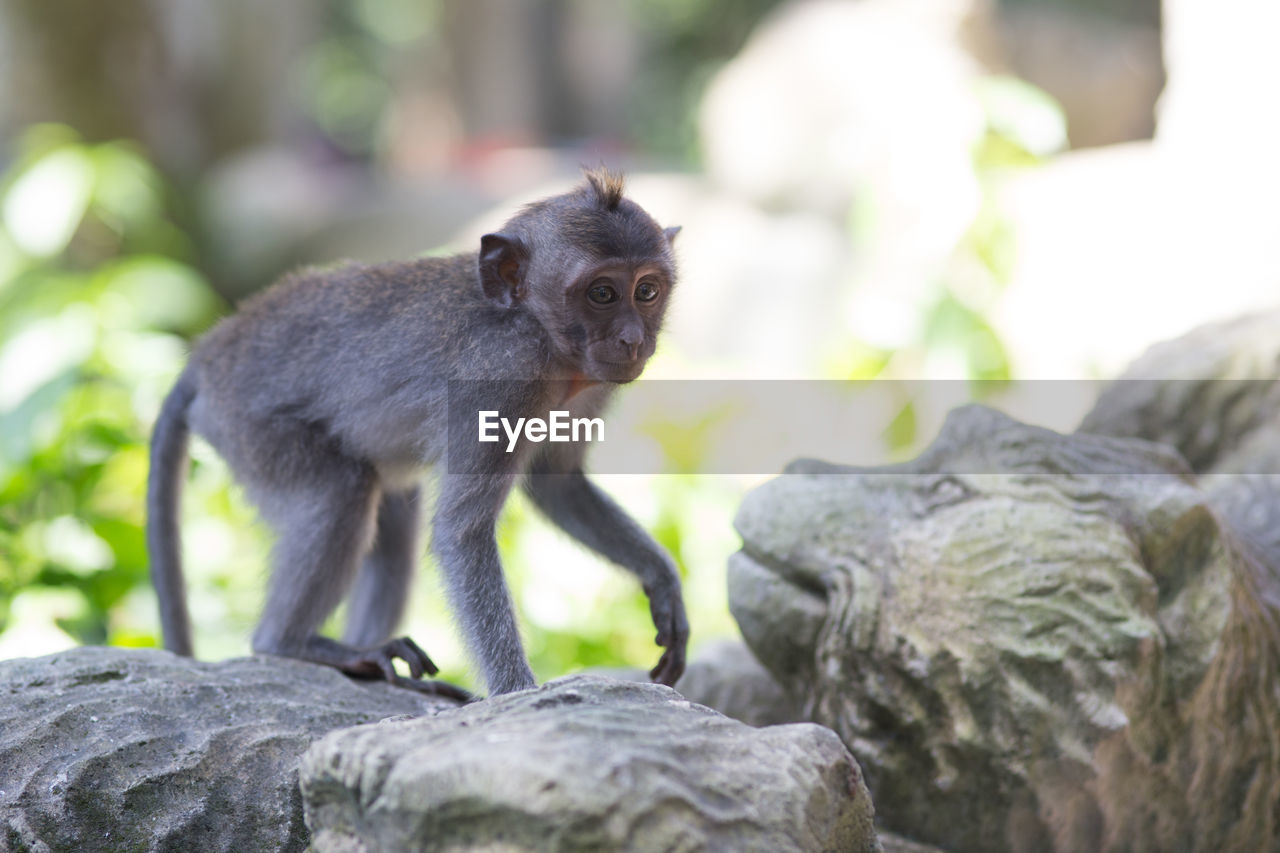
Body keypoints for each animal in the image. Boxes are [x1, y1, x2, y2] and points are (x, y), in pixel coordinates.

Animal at [146, 167, 691, 696]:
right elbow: (461, 533)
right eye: (602, 293)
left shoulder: (589, 387)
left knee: (393, 516)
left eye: (646, 291)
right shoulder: (503, 377)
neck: (537, 331)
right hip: (249, 428)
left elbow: (557, 484)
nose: (633, 339)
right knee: (342, 491)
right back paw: (292, 642)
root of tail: (207, 354)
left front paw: (661, 580)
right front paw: (517, 692)